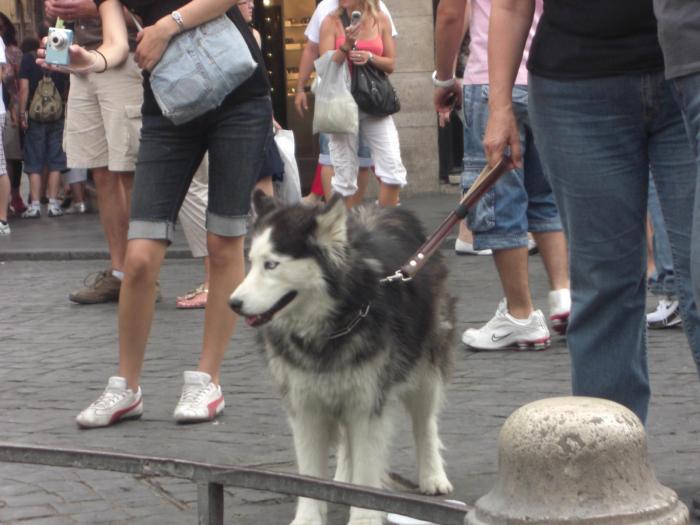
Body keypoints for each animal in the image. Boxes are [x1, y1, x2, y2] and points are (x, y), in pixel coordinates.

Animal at [230, 192, 456, 524]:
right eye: (251, 262)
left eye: (272, 264)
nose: (232, 303)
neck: (328, 329)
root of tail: (383, 206)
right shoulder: (306, 405)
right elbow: (311, 473)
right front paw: (309, 517)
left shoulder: (367, 402)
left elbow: (367, 468)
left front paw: (363, 515)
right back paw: (341, 481)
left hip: (424, 367)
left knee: (424, 422)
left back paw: (433, 476)